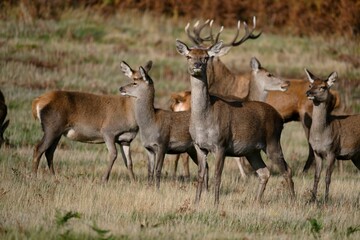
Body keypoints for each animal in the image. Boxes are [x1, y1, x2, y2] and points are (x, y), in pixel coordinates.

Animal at [175, 39, 296, 204]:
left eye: (206, 57)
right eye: (189, 56)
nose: (197, 65)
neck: (204, 121)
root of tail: (280, 118)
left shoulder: (221, 144)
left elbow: (217, 176)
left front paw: (216, 203)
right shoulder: (199, 145)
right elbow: (200, 175)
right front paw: (196, 202)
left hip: (273, 141)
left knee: (287, 170)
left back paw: (293, 201)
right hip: (253, 150)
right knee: (264, 172)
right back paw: (256, 202)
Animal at [183, 18, 340, 172]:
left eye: (208, 57)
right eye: (190, 56)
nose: (196, 66)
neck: (228, 85)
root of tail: (335, 95)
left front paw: (246, 172)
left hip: (307, 115)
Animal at [304, 68, 360, 202]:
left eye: (323, 87)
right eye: (310, 85)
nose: (308, 93)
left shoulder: (332, 151)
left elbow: (328, 177)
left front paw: (326, 199)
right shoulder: (317, 152)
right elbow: (316, 176)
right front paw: (312, 199)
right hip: (356, 156)